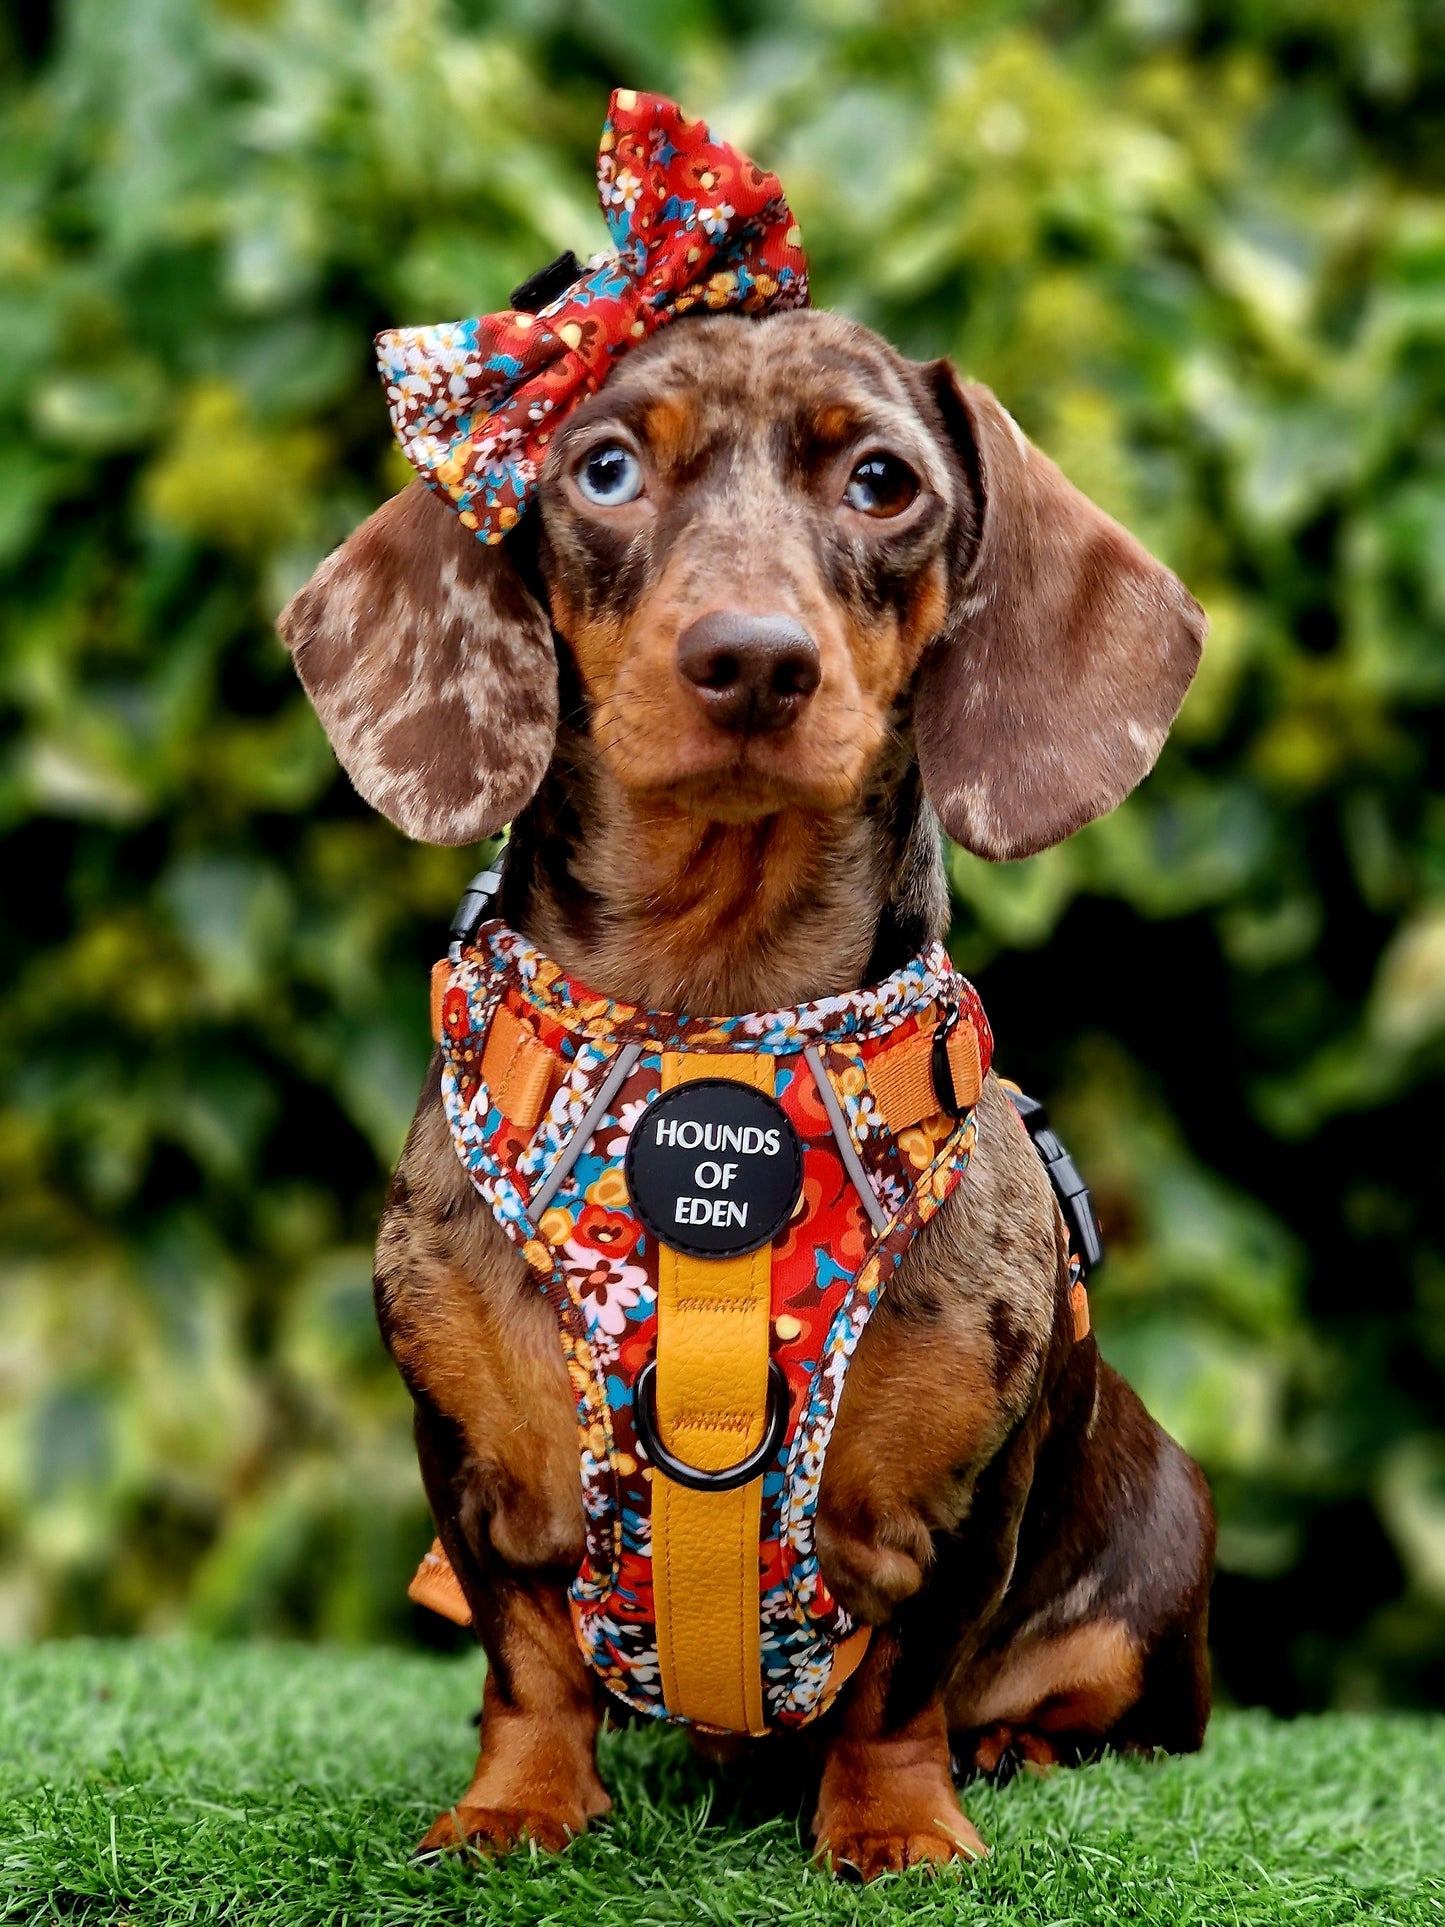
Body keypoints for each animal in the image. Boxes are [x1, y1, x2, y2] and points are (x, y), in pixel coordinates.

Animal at [277, 296, 1217, 1865]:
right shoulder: (467, 1463)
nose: (755, 660)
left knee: (1094, 1705)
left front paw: (897, 1829)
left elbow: (906, 1682)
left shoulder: (970, 1498)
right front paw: (516, 1803)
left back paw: (1012, 1743)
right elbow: (525, 1663)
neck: (713, 1028)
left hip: (1160, 1554)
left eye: (882, 481)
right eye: (601, 468)